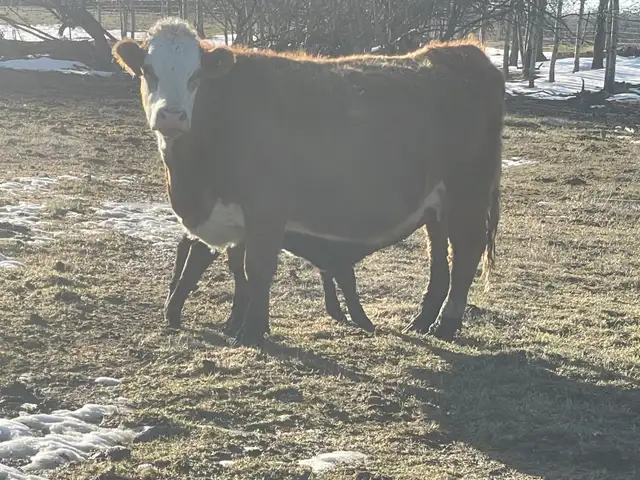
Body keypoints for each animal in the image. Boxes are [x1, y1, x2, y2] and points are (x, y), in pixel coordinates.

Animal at [113, 17, 504, 347]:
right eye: (148, 71)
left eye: (195, 76)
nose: (171, 115)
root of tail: (460, 52)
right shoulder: (234, 216)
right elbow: (235, 269)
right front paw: (238, 324)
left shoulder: (266, 209)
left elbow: (256, 269)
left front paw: (251, 332)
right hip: (438, 204)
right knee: (439, 255)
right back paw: (422, 321)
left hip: (467, 193)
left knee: (465, 252)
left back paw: (446, 324)